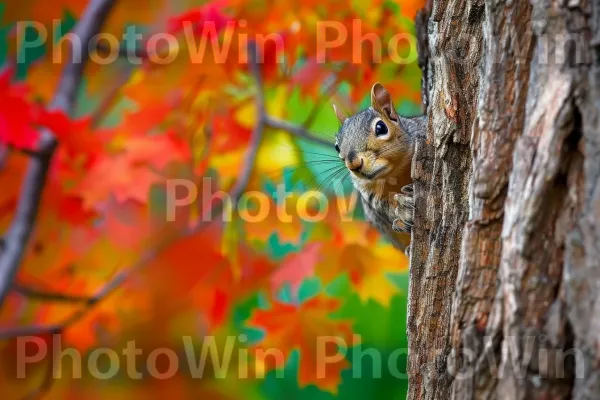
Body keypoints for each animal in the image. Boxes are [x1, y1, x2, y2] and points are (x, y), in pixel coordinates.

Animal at [332, 83, 426, 253]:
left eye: (381, 128)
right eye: (337, 146)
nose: (354, 164)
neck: (395, 173)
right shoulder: (369, 193)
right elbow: (385, 206)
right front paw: (403, 208)